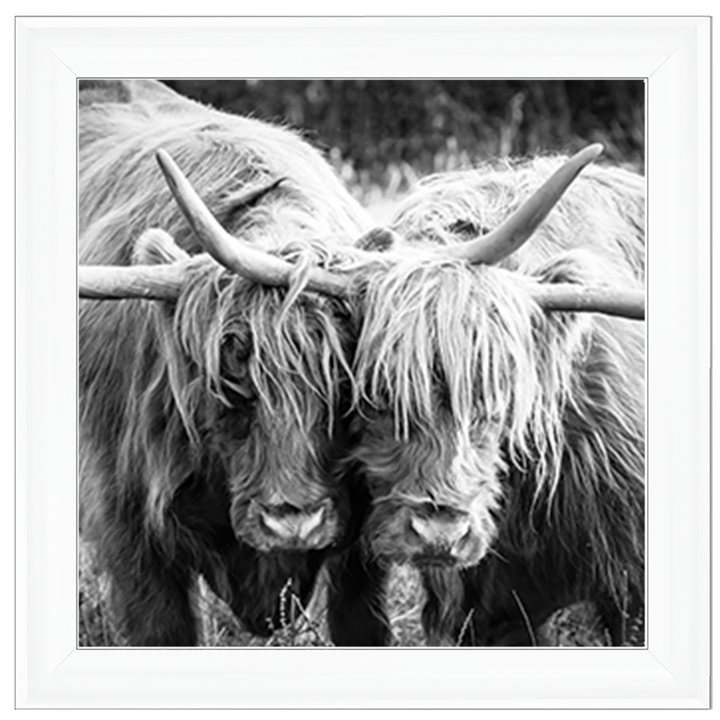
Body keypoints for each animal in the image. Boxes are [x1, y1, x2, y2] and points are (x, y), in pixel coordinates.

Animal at [78, 79, 390, 646]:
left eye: (344, 384)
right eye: (230, 379)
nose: (293, 523)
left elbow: (362, 622)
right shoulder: (126, 525)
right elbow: (162, 629)